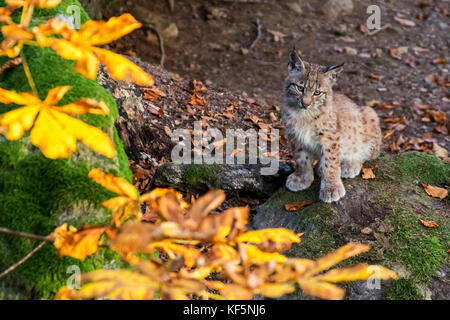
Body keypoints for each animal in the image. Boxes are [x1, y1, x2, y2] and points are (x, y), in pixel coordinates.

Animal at [284, 49, 382, 202]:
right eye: (300, 88)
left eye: (317, 92)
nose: (305, 104)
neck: (305, 114)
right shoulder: (294, 136)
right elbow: (301, 159)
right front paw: (302, 179)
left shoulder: (330, 137)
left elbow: (330, 162)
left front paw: (331, 188)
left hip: (369, 112)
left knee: (368, 153)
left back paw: (350, 165)